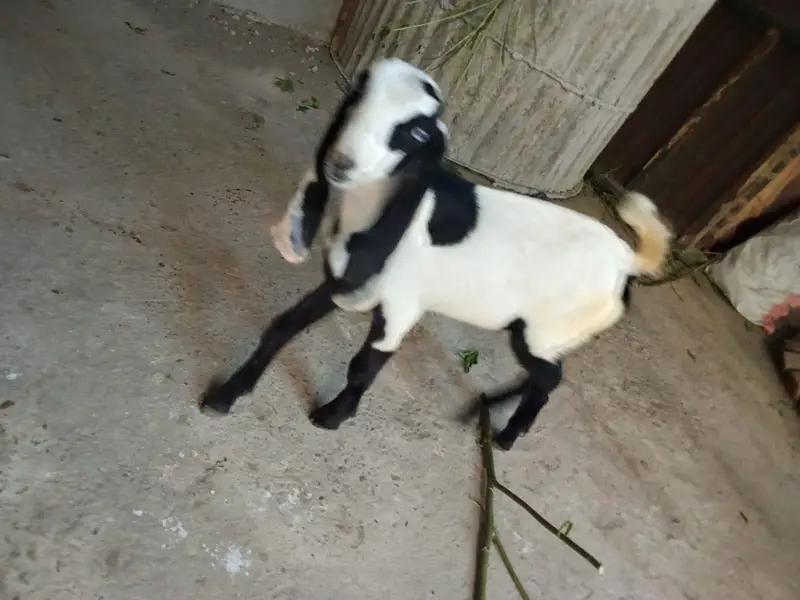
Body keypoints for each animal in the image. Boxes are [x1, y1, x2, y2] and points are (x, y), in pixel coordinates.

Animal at [199, 57, 672, 450]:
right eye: (358, 95)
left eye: (417, 131)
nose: (341, 164)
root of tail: (628, 260)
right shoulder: (345, 281)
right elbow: (283, 327)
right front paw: (225, 396)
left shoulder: (401, 305)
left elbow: (366, 364)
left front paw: (332, 416)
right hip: (532, 328)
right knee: (547, 376)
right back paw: (486, 411)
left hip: (546, 328)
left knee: (550, 378)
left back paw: (505, 434)